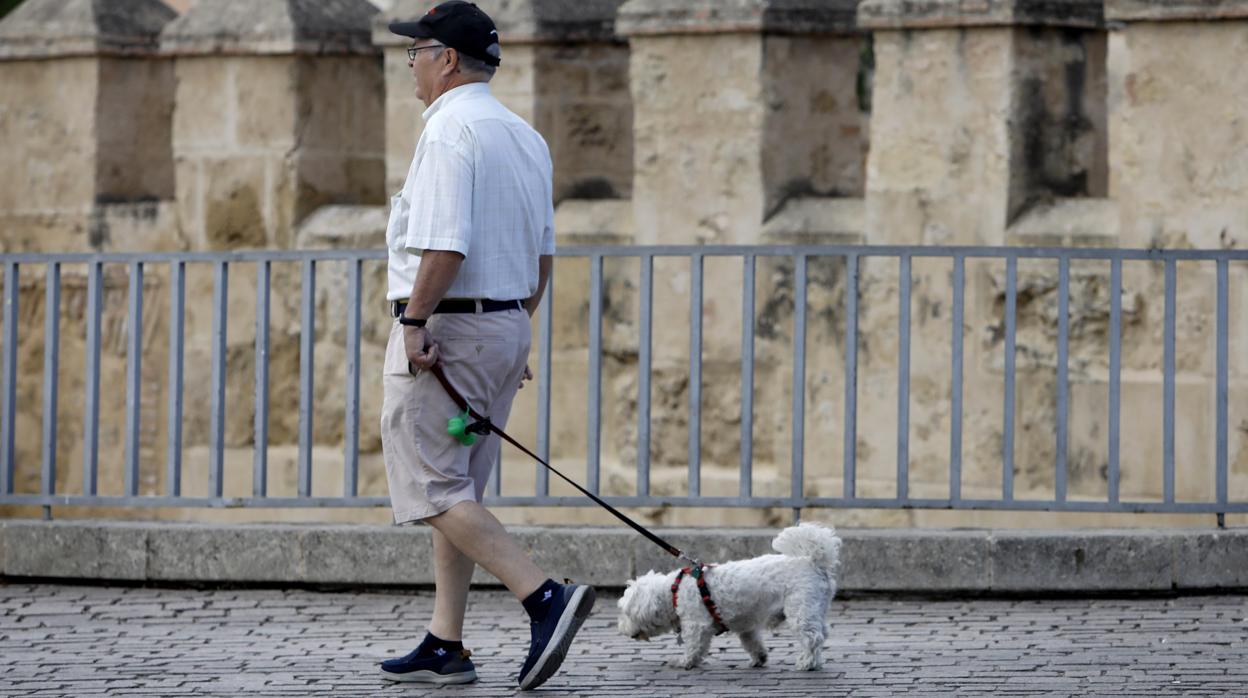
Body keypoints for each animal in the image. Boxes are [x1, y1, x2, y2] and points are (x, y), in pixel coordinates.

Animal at [614, 524, 838, 674]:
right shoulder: (747, 626)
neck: (673, 590)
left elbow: (694, 646)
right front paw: (759, 658)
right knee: (822, 634)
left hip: (801, 610)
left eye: (625, 613)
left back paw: (807, 663)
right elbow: (753, 643)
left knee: (812, 638)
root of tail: (813, 562)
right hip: (814, 609)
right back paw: (815, 661)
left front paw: (683, 662)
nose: (621, 629)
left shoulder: (697, 625)